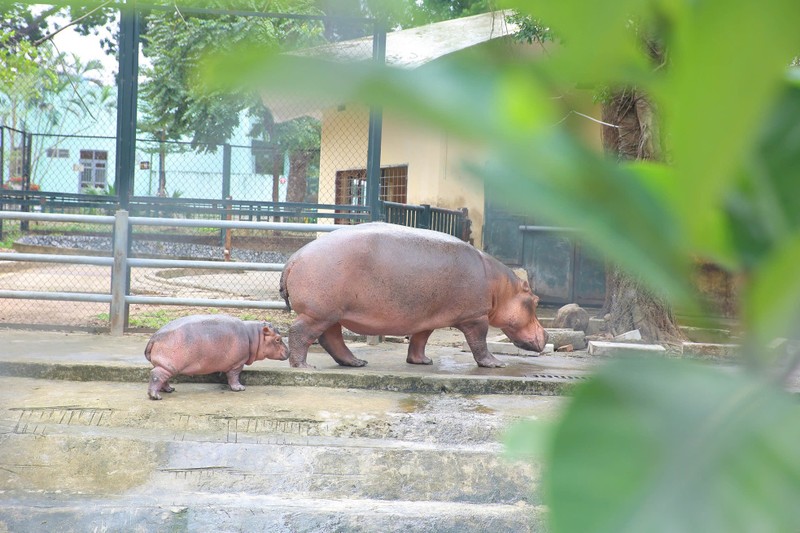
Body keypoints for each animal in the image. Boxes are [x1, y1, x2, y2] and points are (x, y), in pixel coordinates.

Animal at [143, 312, 288, 400]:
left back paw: (170, 390)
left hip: (165, 365)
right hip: (169, 365)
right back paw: (155, 396)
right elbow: (234, 376)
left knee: (163, 378)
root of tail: (154, 337)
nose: (289, 351)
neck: (253, 335)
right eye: (278, 339)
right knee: (156, 375)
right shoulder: (237, 364)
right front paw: (239, 388)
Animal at [278, 222, 548, 368]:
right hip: (319, 313)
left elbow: (420, 339)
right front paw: (496, 363)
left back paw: (357, 362)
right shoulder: (475, 317)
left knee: (331, 339)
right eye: (535, 301)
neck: (500, 288)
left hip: (332, 314)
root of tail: (294, 257)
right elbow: (479, 343)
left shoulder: (427, 318)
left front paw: (423, 362)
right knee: (300, 332)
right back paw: (304, 366)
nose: (546, 334)